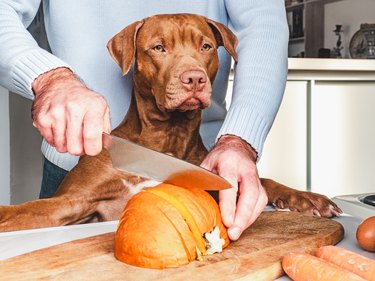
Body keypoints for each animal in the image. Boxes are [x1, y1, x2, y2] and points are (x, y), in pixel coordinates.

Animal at [0, 13, 340, 232]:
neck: (166, 135)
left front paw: (306, 197)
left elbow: (262, 180)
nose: (194, 79)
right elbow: (23, 210)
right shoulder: (73, 202)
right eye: (158, 48)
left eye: (205, 46)